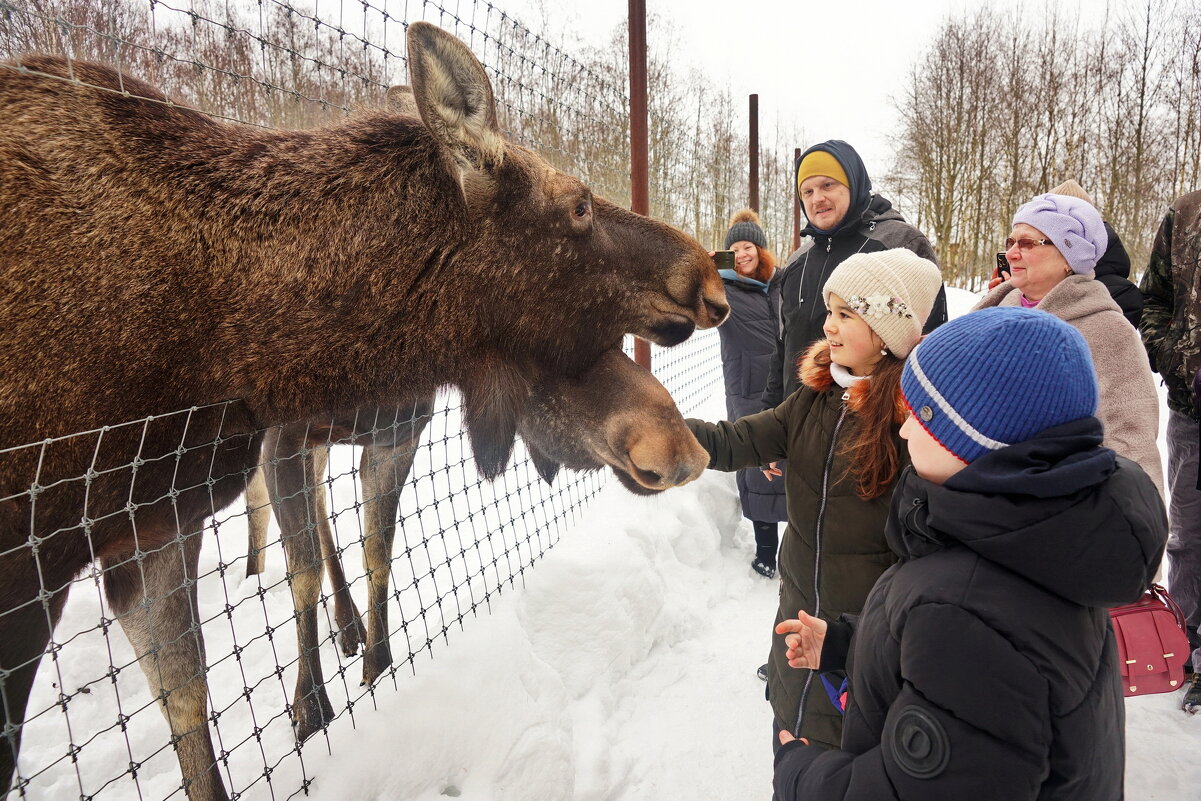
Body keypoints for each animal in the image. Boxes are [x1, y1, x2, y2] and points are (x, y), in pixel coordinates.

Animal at [0, 20, 725, 801]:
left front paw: (377, 662)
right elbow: (294, 579)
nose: (710, 279)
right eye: (581, 204)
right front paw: (308, 706)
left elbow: (199, 689)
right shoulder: (47, 556)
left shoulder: (159, 516)